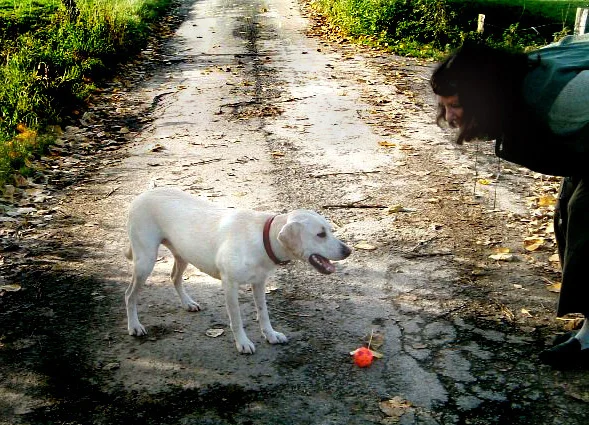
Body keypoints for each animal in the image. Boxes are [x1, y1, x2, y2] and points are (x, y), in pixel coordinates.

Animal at [123, 187, 350, 352]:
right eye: (321, 234)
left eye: (330, 230)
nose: (348, 251)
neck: (263, 237)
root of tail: (141, 195)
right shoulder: (230, 285)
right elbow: (236, 320)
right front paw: (243, 342)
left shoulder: (259, 284)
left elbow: (264, 313)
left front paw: (270, 334)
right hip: (145, 262)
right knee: (129, 295)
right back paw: (134, 326)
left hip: (182, 254)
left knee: (174, 278)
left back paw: (188, 303)